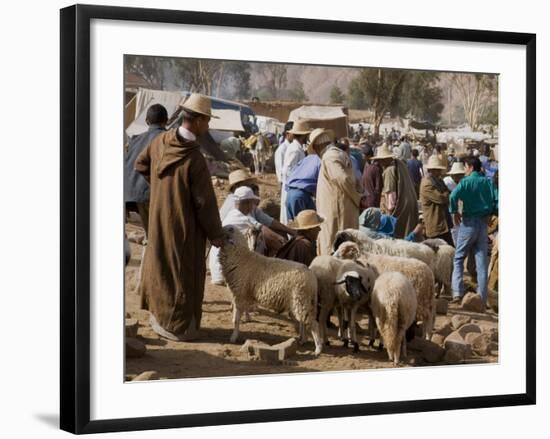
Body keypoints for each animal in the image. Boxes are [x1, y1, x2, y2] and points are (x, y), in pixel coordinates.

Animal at [219, 225, 324, 356]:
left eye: (230, 229)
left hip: (301, 299)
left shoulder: (239, 294)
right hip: (303, 300)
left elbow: (236, 319)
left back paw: (318, 349)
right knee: (304, 321)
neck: (241, 257)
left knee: (313, 323)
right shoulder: (241, 294)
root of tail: (312, 277)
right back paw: (303, 339)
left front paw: (233, 337)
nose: (219, 229)